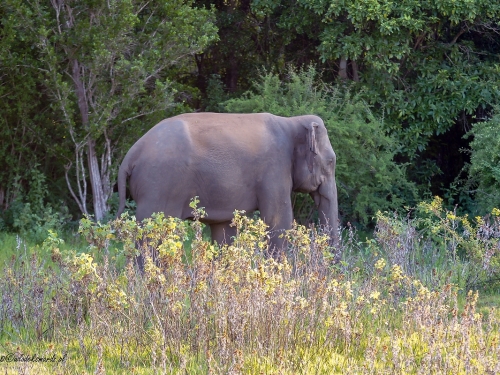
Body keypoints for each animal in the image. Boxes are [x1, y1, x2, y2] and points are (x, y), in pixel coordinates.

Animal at [115, 112, 338, 262]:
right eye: (330, 162)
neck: (292, 121)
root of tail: (130, 155)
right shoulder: (274, 169)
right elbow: (278, 221)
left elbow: (224, 230)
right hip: (158, 186)